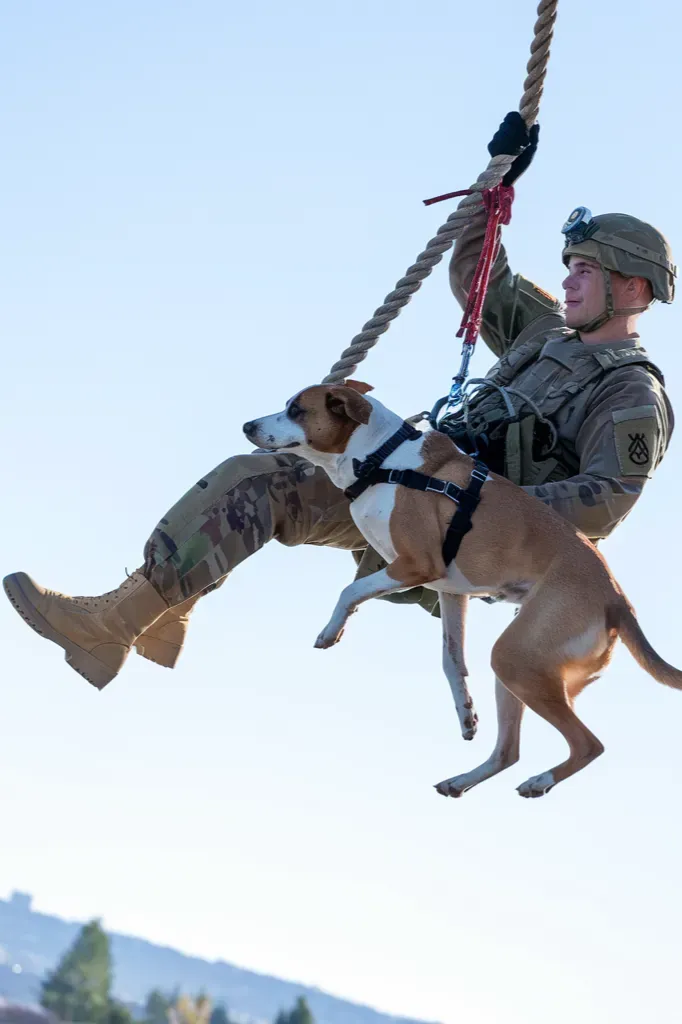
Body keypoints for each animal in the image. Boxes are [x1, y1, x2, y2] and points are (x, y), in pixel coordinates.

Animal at [244, 380, 679, 794]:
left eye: (297, 410)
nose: (247, 426)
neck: (381, 459)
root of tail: (618, 599)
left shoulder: (416, 564)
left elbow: (350, 591)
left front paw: (330, 631)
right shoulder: (451, 591)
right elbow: (451, 660)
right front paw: (466, 712)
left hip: (515, 656)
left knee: (588, 744)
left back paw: (540, 781)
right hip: (521, 669)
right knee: (509, 752)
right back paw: (462, 781)